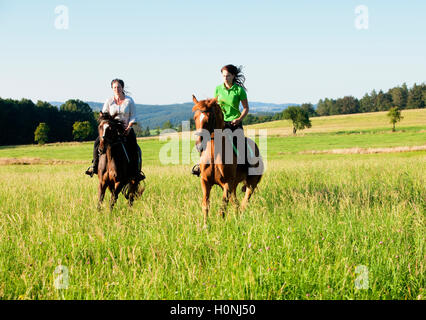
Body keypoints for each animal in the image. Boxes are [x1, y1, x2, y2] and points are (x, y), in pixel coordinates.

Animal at [192, 95, 262, 225]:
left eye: (209, 118)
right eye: (195, 117)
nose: (199, 145)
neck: (214, 154)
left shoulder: (227, 184)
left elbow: (223, 206)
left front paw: (221, 224)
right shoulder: (205, 181)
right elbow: (206, 205)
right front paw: (205, 226)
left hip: (251, 183)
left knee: (245, 201)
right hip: (235, 185)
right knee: (236, 203)